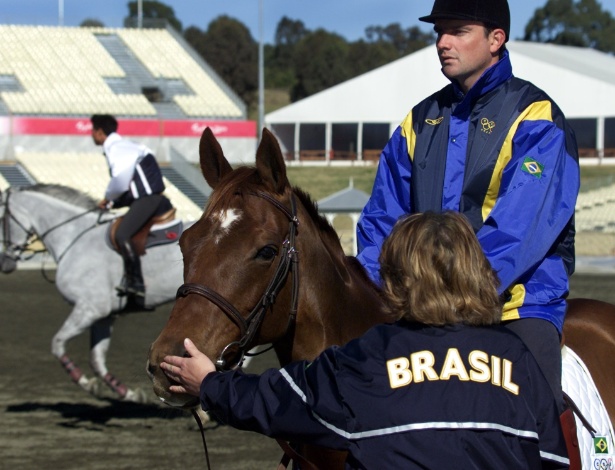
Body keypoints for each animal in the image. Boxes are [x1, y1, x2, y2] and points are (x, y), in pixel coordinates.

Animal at [1, 184, 184, 400]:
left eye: (2, 220)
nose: (5, 264)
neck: (74, 238)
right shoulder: (104, 317)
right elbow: (96, 359)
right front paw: (127, 393)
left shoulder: (90, 309)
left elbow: (57, 343)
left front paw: (83, 381)